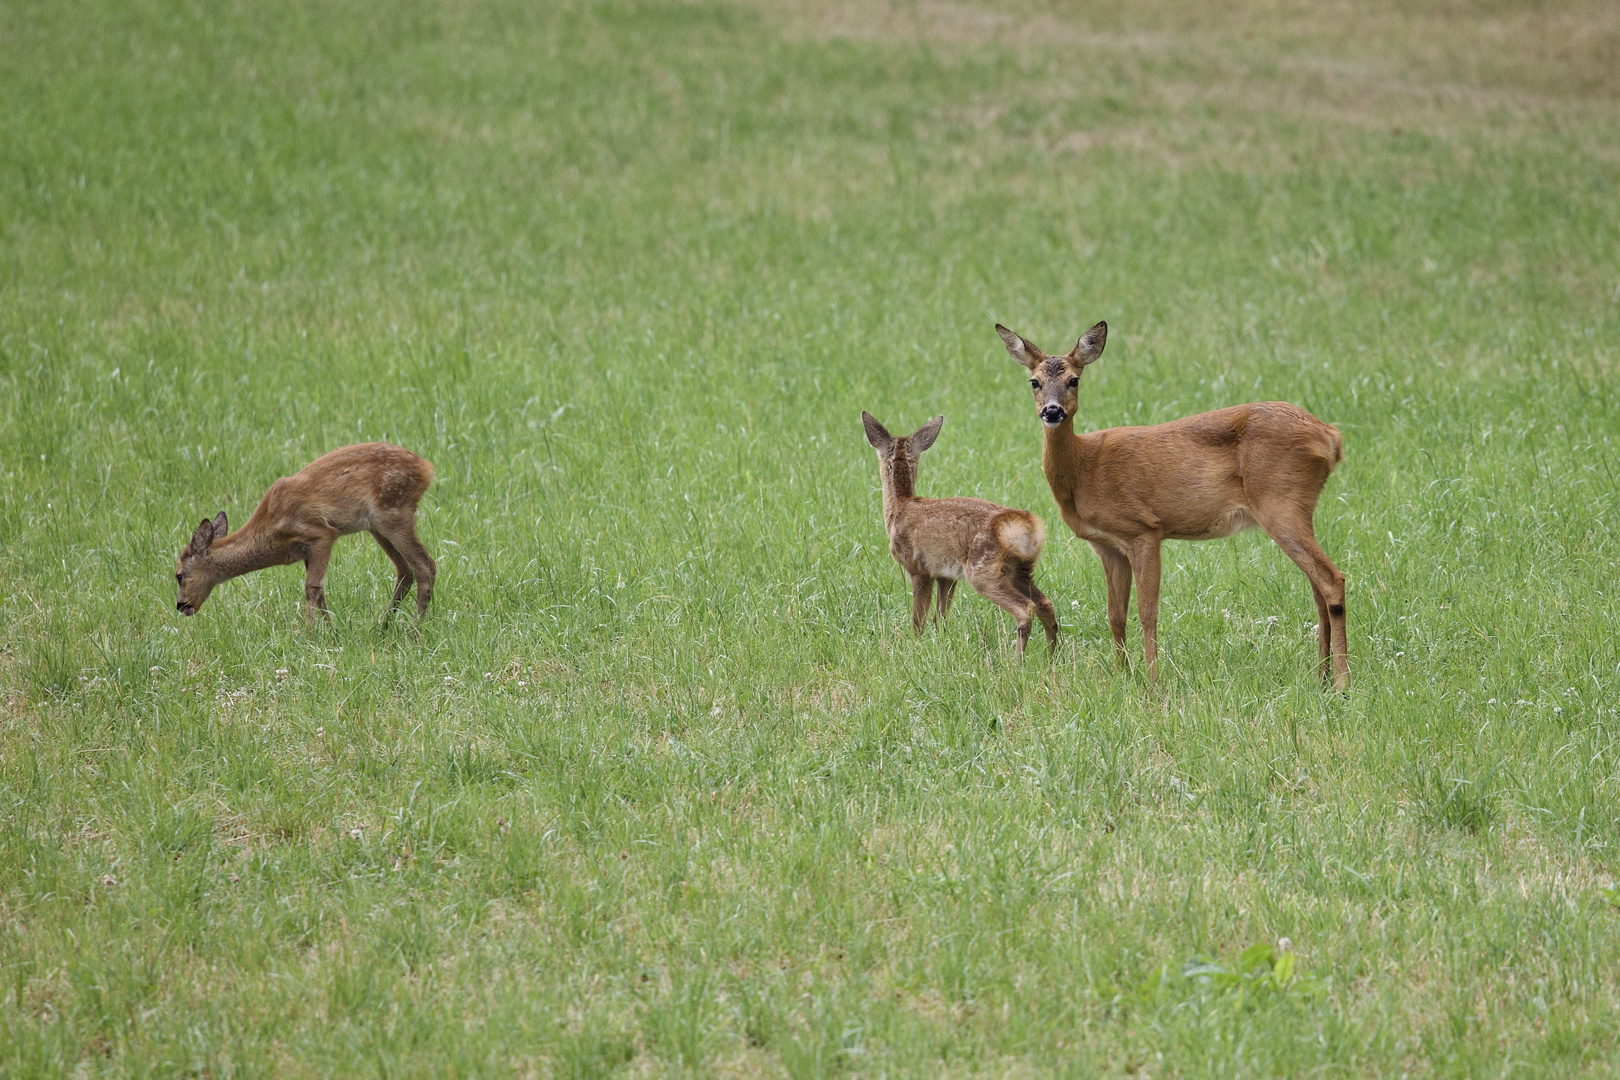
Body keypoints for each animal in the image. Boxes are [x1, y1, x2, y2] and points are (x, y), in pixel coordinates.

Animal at [175, 440, 437, 625]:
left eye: (178, 575)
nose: (180, 605)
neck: (270, 532)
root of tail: (426, 468)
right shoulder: (305, 552)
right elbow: (320, 592)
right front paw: (331, 631)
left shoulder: (321, 534)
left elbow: (312, 587)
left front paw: (309, 634)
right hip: (377, 526)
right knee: (405, 569)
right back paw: (382, 625)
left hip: (394, 514)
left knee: (425, 565)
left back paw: (415, 629)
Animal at [861, 411, 1062, 654]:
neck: (901, 507)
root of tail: (1028, 528)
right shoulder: (946, 575)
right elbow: (940, 618)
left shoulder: (918, 568)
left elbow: (918, 619)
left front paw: (914, 646)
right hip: (1019, 570)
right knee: (1046, 605)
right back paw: (1052, 657)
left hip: (982, 569)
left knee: (1025, 609)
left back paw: (1017, 660)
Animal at [991, 325, 1347, 689]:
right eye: (1034, 381)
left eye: (1074, 380)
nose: (1052, 411)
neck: (1083, 469)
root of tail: (1330, 437)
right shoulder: (1108, 545)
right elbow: (1115, 614)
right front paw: (1122, 674)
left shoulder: (1143, 529)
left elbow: (1148, 612)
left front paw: (1152, 682)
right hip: (1298, 506)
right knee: (1317, 587)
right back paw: (1321, 677)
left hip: (1279, 501)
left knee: (1332, 580)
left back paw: (1342, 682)